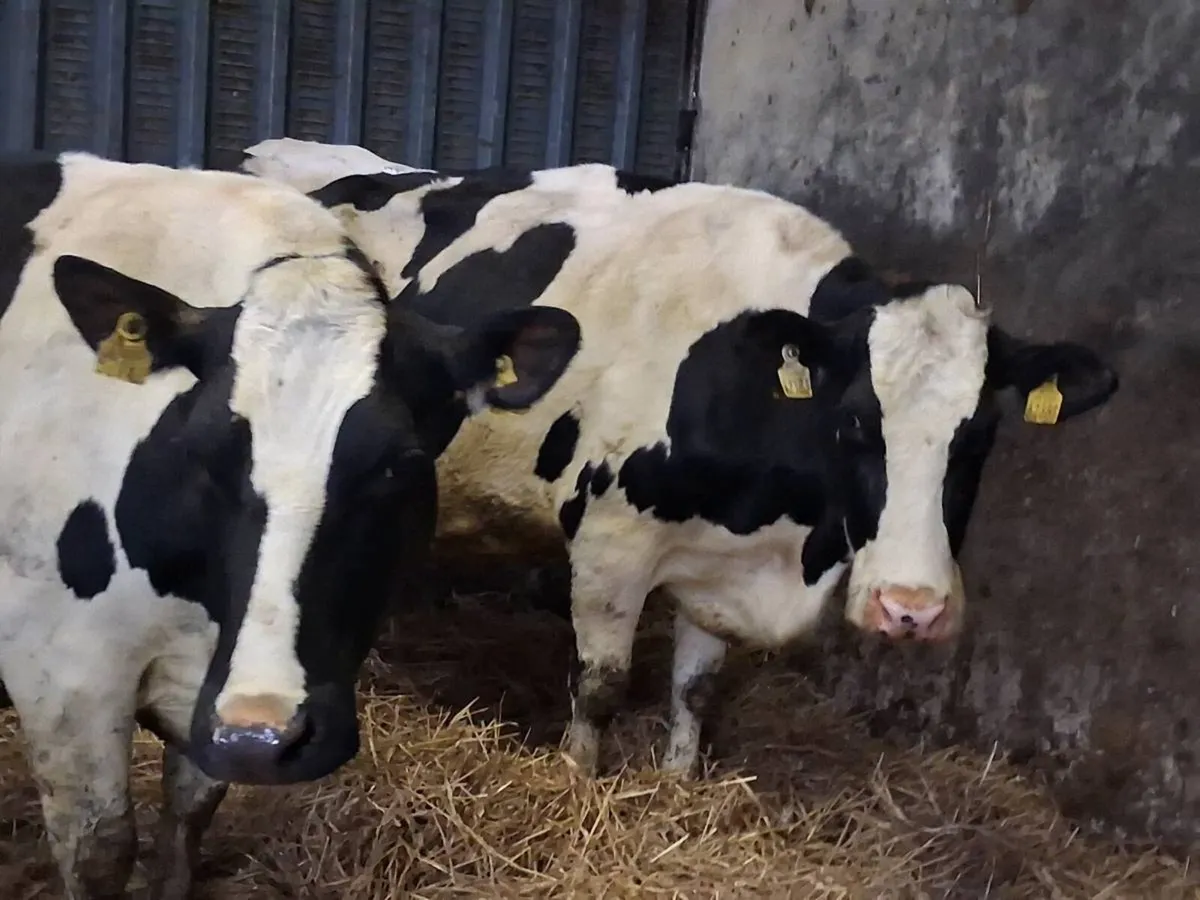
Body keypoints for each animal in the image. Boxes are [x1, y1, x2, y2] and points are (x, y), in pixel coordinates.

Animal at [0, 150, 581, 899]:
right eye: (202, 449)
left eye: (399, 464)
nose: (265, 734)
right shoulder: (62, 673)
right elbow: (100, 849)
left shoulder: (209, 696)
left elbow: (187, 816)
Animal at [241, 139, 1119, 782]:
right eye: (854, 423)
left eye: (981, 434)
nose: (912, 609)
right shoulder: (610, 542)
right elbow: (600, 684)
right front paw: (578, 780)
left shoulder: (718, 561)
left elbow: (695, 687)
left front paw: (677, 781)